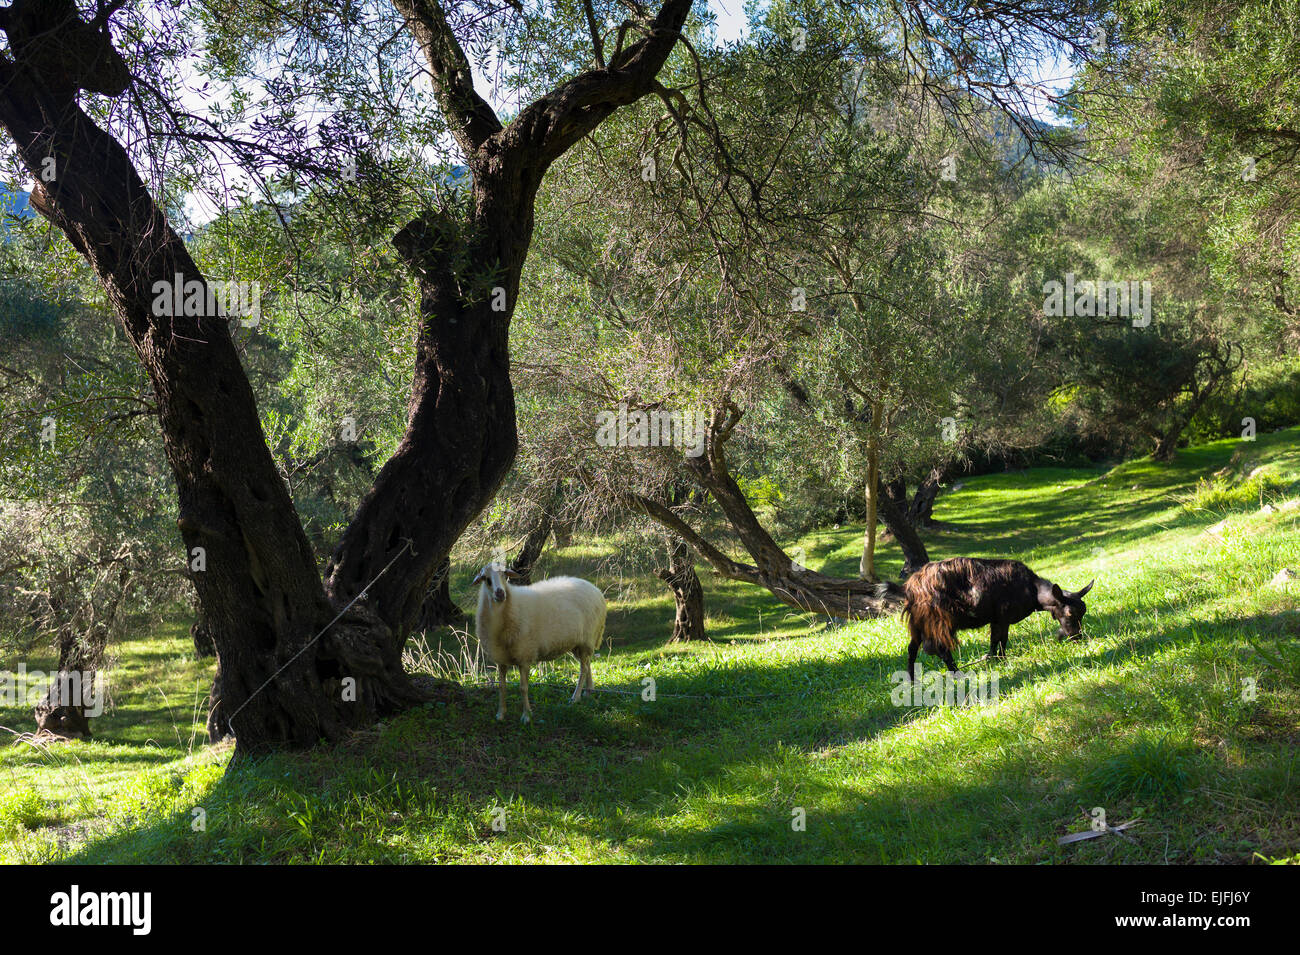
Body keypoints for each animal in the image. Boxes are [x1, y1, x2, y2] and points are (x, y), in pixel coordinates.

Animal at [472, 563, 607, 723]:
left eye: (505, 576)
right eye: (486, 579)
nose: (500, 594)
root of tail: (595, 589)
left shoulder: (525, 655)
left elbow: (523, 688)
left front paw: (526, 716)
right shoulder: (501, 659)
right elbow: (502, 687)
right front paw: (501, 714)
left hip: (587, 639)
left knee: (583, 669)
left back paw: (576, 697)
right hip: (579, 644)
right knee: (587, 663)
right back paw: (588, 691)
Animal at [887, 557, 1094, 681]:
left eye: (1083, 611)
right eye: (1069, 613)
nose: (1077, 637)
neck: (1032, 589)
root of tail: (910, 588)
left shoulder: (996, 619)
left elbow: (995, 641)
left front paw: (993, 659)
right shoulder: (1003, 617)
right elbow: (1001, 639)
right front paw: (1002, 660)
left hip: (918, 624)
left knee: (913, 649)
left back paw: (911, 680)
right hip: (938, 621)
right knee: (939, 648)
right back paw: (957, 674)